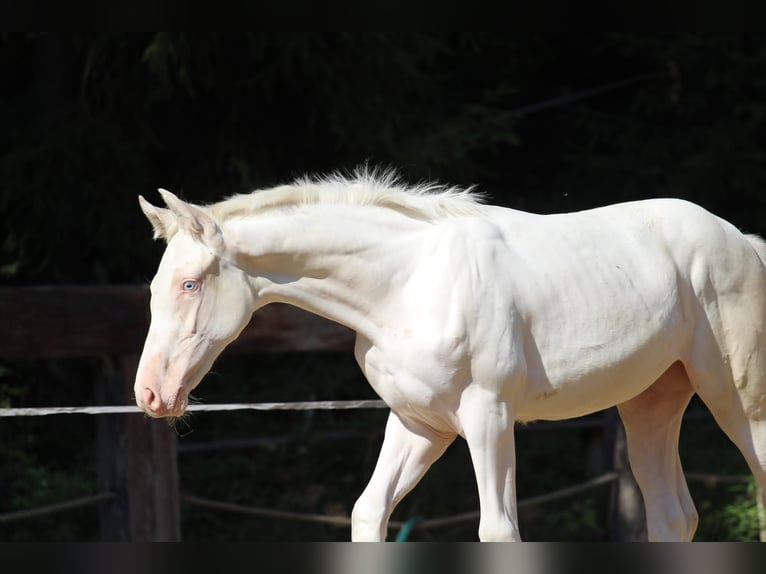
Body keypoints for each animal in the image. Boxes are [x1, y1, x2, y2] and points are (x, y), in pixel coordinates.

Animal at [135, 169, 766, 544]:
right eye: (154, 287)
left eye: (190, 284)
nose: (151, 394)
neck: (407, 282)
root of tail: (744, 242)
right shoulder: (419, 424)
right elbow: (369, 512)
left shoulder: (489, 421)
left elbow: (498, 530)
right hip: (650, 406)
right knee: (673, 516)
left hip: (739, 400)